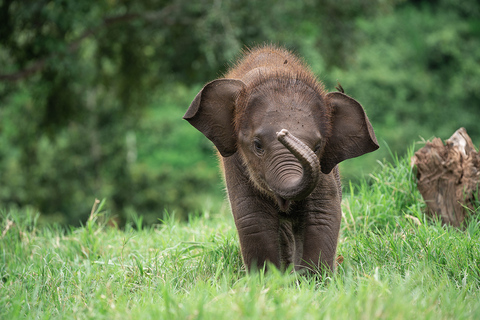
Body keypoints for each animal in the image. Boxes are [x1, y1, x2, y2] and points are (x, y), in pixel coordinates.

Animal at [184, 45, 378, 272]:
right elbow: (254, 217)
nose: (283, 133)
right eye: (257, 145)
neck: (275, 71)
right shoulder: (235, 161)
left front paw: (314, 279)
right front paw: (268, 278)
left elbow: (322, 213)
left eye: (317, 146)